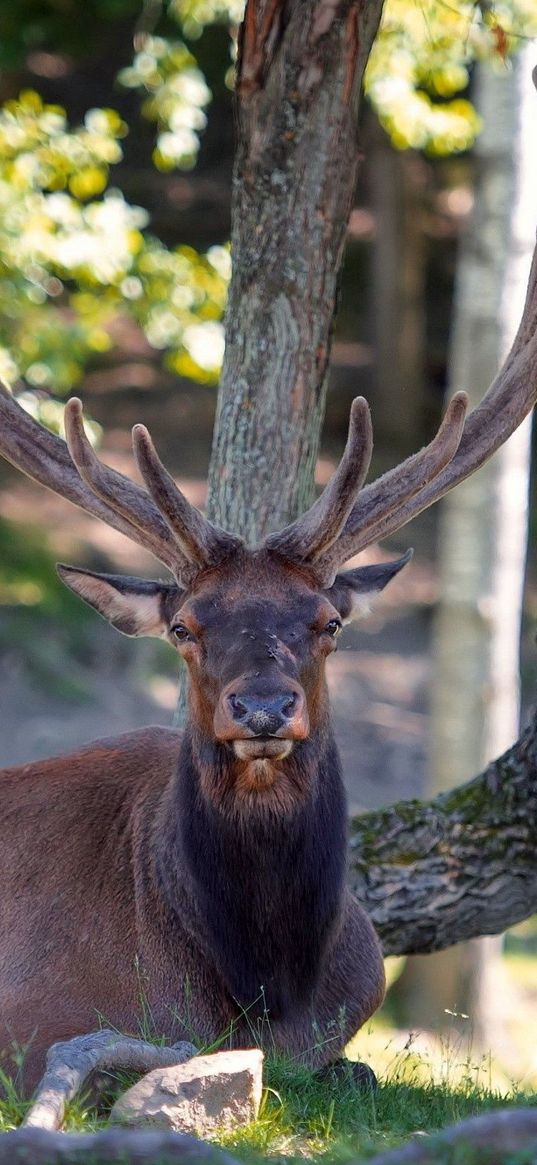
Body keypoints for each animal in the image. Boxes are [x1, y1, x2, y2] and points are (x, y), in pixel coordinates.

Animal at [0, 234, 533, 1090]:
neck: (267, 988)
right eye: (183, 626)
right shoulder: (32, 1026)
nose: (262, 707)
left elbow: (358, 1069)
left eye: (328, 621)